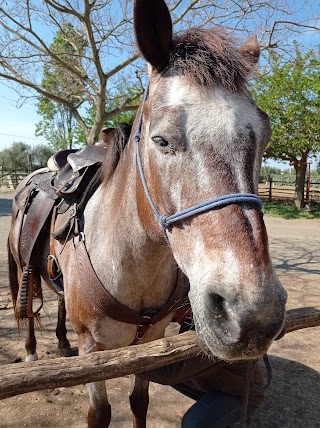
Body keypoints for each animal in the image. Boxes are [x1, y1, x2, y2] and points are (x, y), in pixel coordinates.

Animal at [7, 1, 288, 426]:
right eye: (162, 139)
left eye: (264, 135)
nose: (253, 314)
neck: (132, 266)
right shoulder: (94, 351)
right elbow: (101, 412)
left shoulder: (150, 346)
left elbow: (139, 402)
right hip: (21, 268)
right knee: (27, 307)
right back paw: (32, 349)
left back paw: (60, 342)